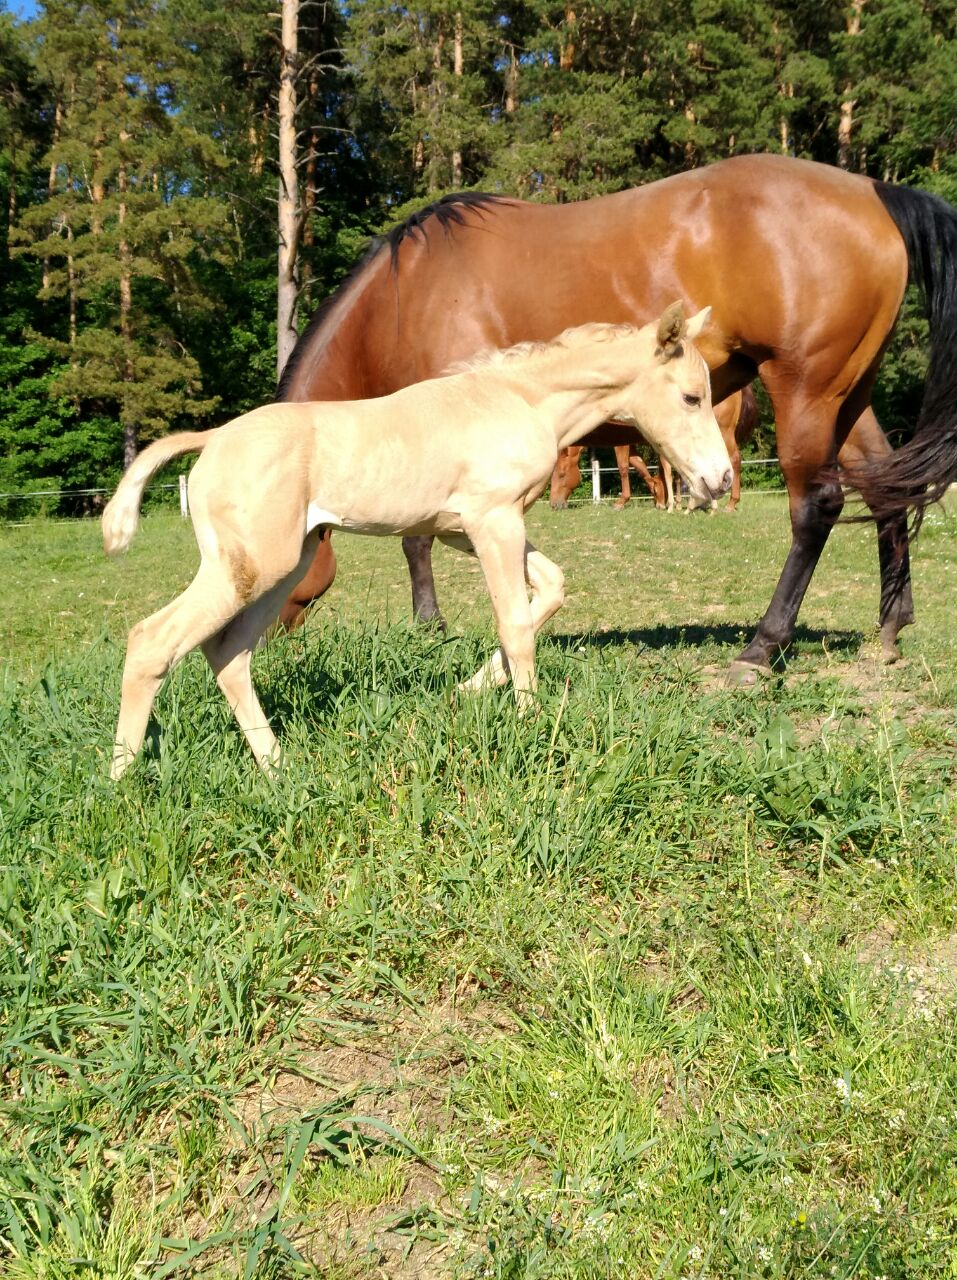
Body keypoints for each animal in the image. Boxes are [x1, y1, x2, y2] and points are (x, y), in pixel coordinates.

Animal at [103, 306, 731, 779]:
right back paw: (120, 782)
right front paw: (529, 727)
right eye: (691, 397)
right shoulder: (493, 521)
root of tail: (212, 439)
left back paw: (280, 768)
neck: (519, 399)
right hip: (251, 567)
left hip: (283, 568)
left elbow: (548, 590)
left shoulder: (463, 530)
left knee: (229, 654)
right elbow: (515, 622)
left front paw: (470, 687)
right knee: (152, 641)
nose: (720, 481)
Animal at [277, 154, 957, 680]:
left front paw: (431, 626)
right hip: (849, 393)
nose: (270, 636)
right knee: (885, 485)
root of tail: (873, 193)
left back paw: (760, 649)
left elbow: (420, 540)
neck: (404, 297)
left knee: (817, 506)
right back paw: (890, 629)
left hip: (806, 390)